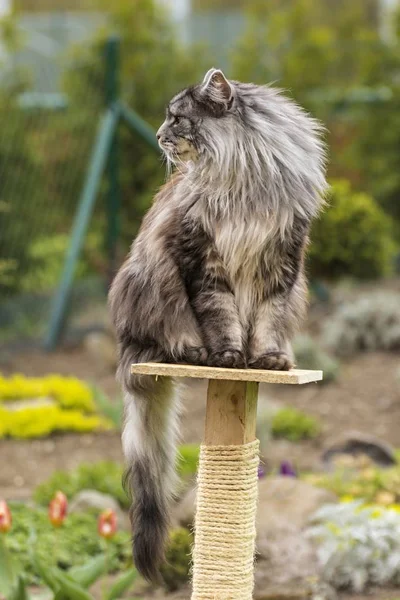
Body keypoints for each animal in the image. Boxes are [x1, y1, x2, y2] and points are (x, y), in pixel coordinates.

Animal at [109, 69, 328, 580]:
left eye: (176, 118)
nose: (158, 136)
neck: (245, 180)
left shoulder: (282, 264)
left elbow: (266, 320)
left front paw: (265, 361)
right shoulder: (201, 257)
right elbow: (220, 315)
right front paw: (227, 358)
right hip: (151, 286)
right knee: (164, 342)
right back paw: (191, 353)